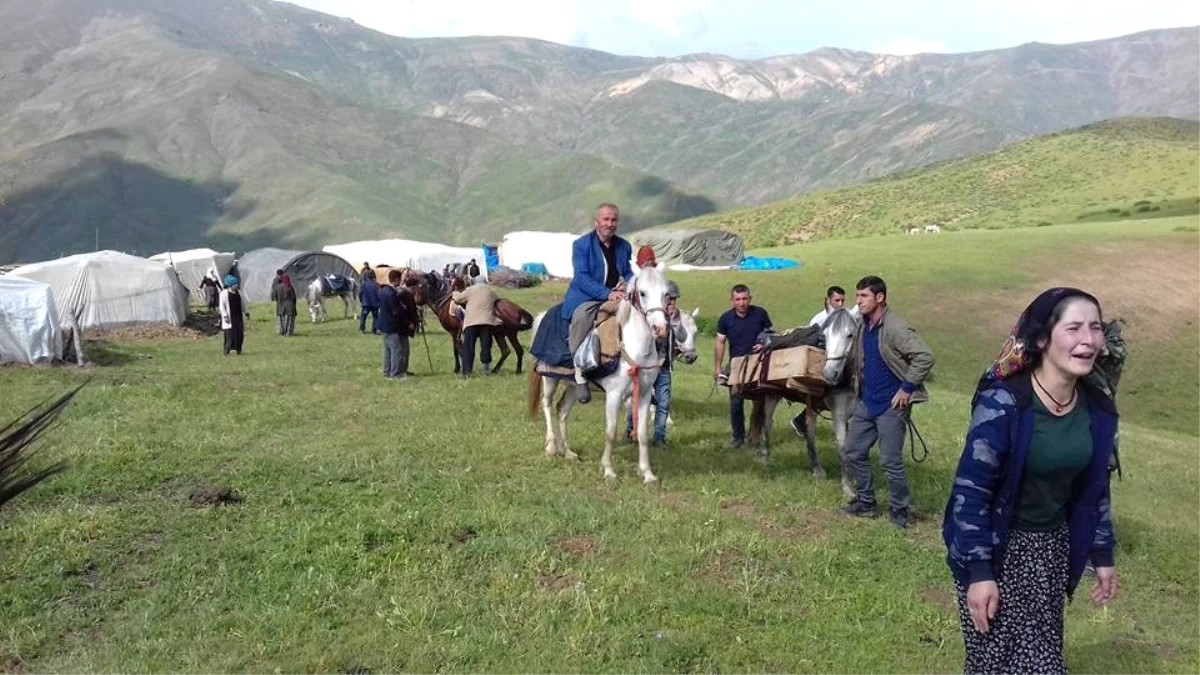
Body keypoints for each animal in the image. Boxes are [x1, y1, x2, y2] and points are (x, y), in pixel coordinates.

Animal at [528, 264, 676, 482]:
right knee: (546, 404)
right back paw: (552, 447)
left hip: (573, 385)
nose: (660, 329)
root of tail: (543, 316)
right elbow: (610, 432)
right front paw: (608, 470)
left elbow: (642, 434)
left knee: (562, 410)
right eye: (642, 293)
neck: (634, 348)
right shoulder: (614, 395)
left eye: (666, 294)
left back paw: (568, 452)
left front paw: (647, 473)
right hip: (549, 378)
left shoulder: (644, 394)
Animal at [748, 305, 864, 494]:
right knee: (767, 424)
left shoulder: (855, 413)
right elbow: (842, 446)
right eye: (825, 336)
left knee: (809, 431)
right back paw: (766, 459)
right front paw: (848, 487)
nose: (829, 373)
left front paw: (854, 480)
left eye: (850, 335)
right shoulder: (838, 413)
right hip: (772, 396)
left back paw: (817, 469)